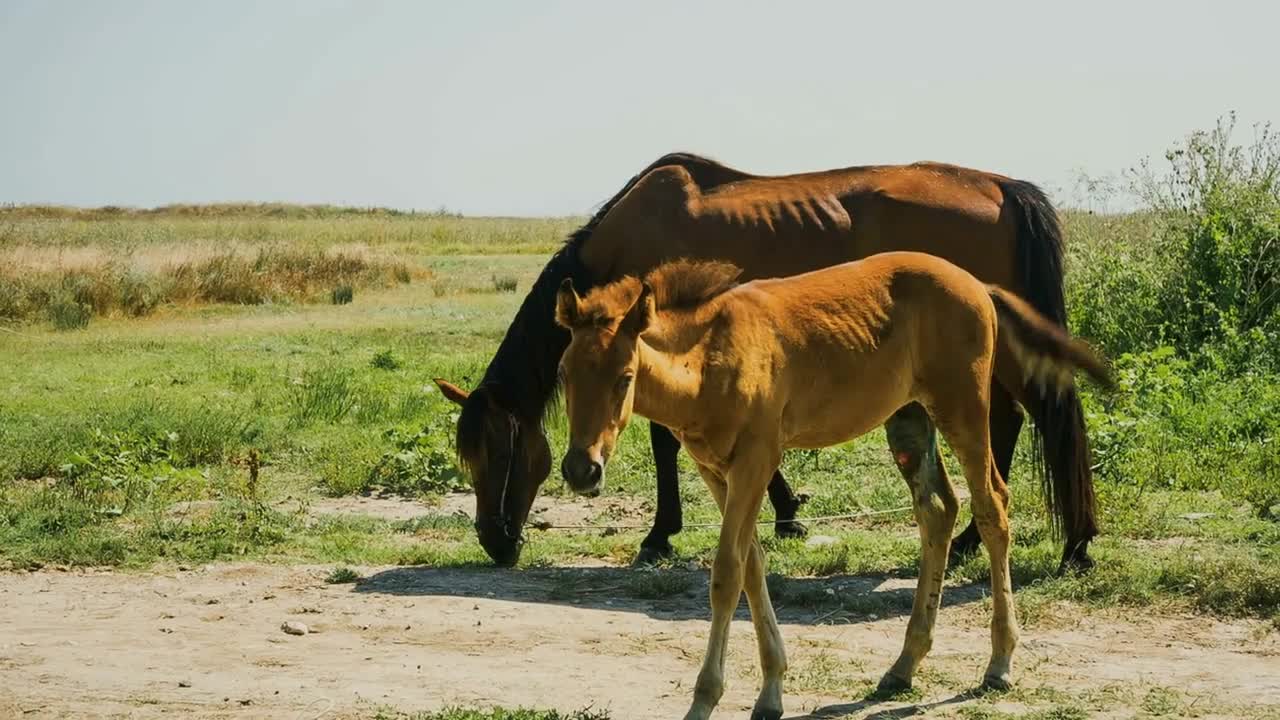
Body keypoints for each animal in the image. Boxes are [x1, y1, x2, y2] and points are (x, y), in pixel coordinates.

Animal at [435, 152, 1095, 571]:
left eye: (500, 452)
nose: (494, 541)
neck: (629, 236)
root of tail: (1001, 187)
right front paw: (786, 513)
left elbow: (664, 442)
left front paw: (659, 534)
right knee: (1009, 423)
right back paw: (976, 542)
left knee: (1032, 419)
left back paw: (1067, 544)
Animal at [558, 249, 1111, 712]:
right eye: (564, 373)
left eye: (625, 377)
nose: (581, 469)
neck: (711, 356)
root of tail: (978, 284)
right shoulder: (715, 469)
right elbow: (752, 565)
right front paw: (771, 691)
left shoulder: (757, 459)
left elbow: (727, 574)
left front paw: (705, 700)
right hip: (910, 418)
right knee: (938, 511)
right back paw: (903, 666)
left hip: (963, 410)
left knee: (992, 508)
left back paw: (998, 663)